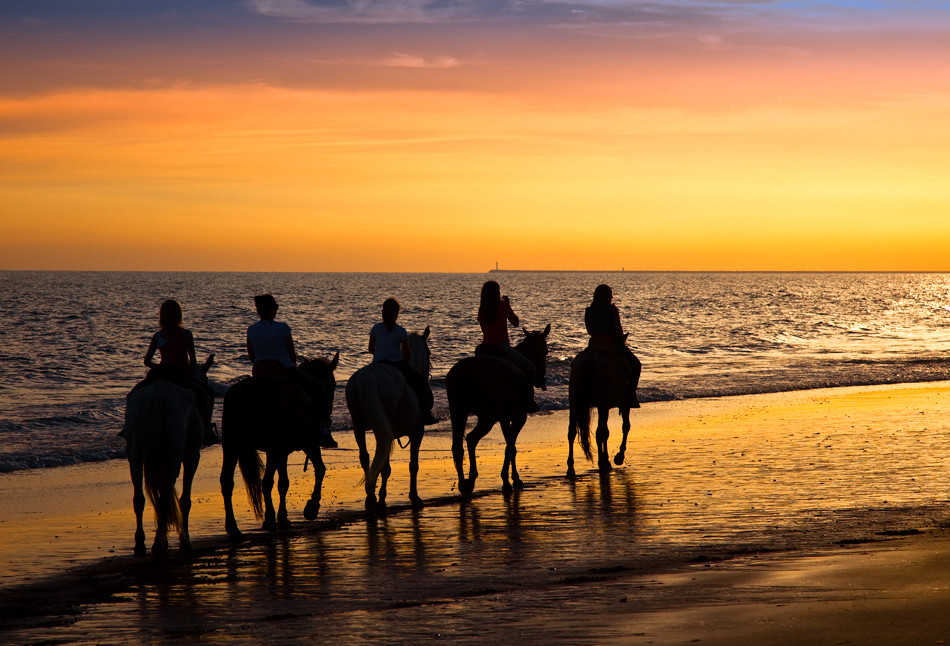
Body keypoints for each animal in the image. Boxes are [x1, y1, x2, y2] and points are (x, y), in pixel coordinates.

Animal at [124, 378, 205, 560]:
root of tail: (155, 397)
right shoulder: (192, 456)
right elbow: (184, 500)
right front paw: (184, 541)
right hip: (172, 455)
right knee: (165, 497)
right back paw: (158, 544)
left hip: (135, 454)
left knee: (139, 499)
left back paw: (141, 545)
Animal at [221, 352, 340, 540]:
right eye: (333, 385)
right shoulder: (307, 444)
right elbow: (320, 469)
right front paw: (311, 508)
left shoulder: (283, 451)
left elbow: (284, 482)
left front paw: (284, 517)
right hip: (271, 447)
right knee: (266, 481)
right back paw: (268, 520)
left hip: (232, 445)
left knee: (227, 482)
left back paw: (233, 527)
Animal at [348, 330, 434, 516]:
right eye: (429, 352)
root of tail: (369, 376)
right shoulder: (418, 431)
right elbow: (413, 465)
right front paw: (414, 497)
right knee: (382, 463)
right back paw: (376, 500)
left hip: (359, 425)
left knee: (365, 457)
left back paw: (370, 498)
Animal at [450, 324, 556, 496]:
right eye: (545, 351)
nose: (542, 379)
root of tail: (465, 373)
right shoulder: (517, 416)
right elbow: (511, 446)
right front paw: (510, 480)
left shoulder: (504, 417)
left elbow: (510, 445)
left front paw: (510, 479)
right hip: (488, 417)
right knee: (471, 439)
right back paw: (470, 480)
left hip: (461, 413)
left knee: (463, 444)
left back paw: (466, 483)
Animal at [568, 346, 636, 478]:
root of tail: (590, 358)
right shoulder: (623, 404)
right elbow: (625, 426)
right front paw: (618, 457)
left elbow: (607, 431)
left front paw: (608, 459)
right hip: (602, 404)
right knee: (600, 432)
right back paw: (601, 463)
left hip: (575, 403)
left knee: (571, 433)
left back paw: (571, 468)